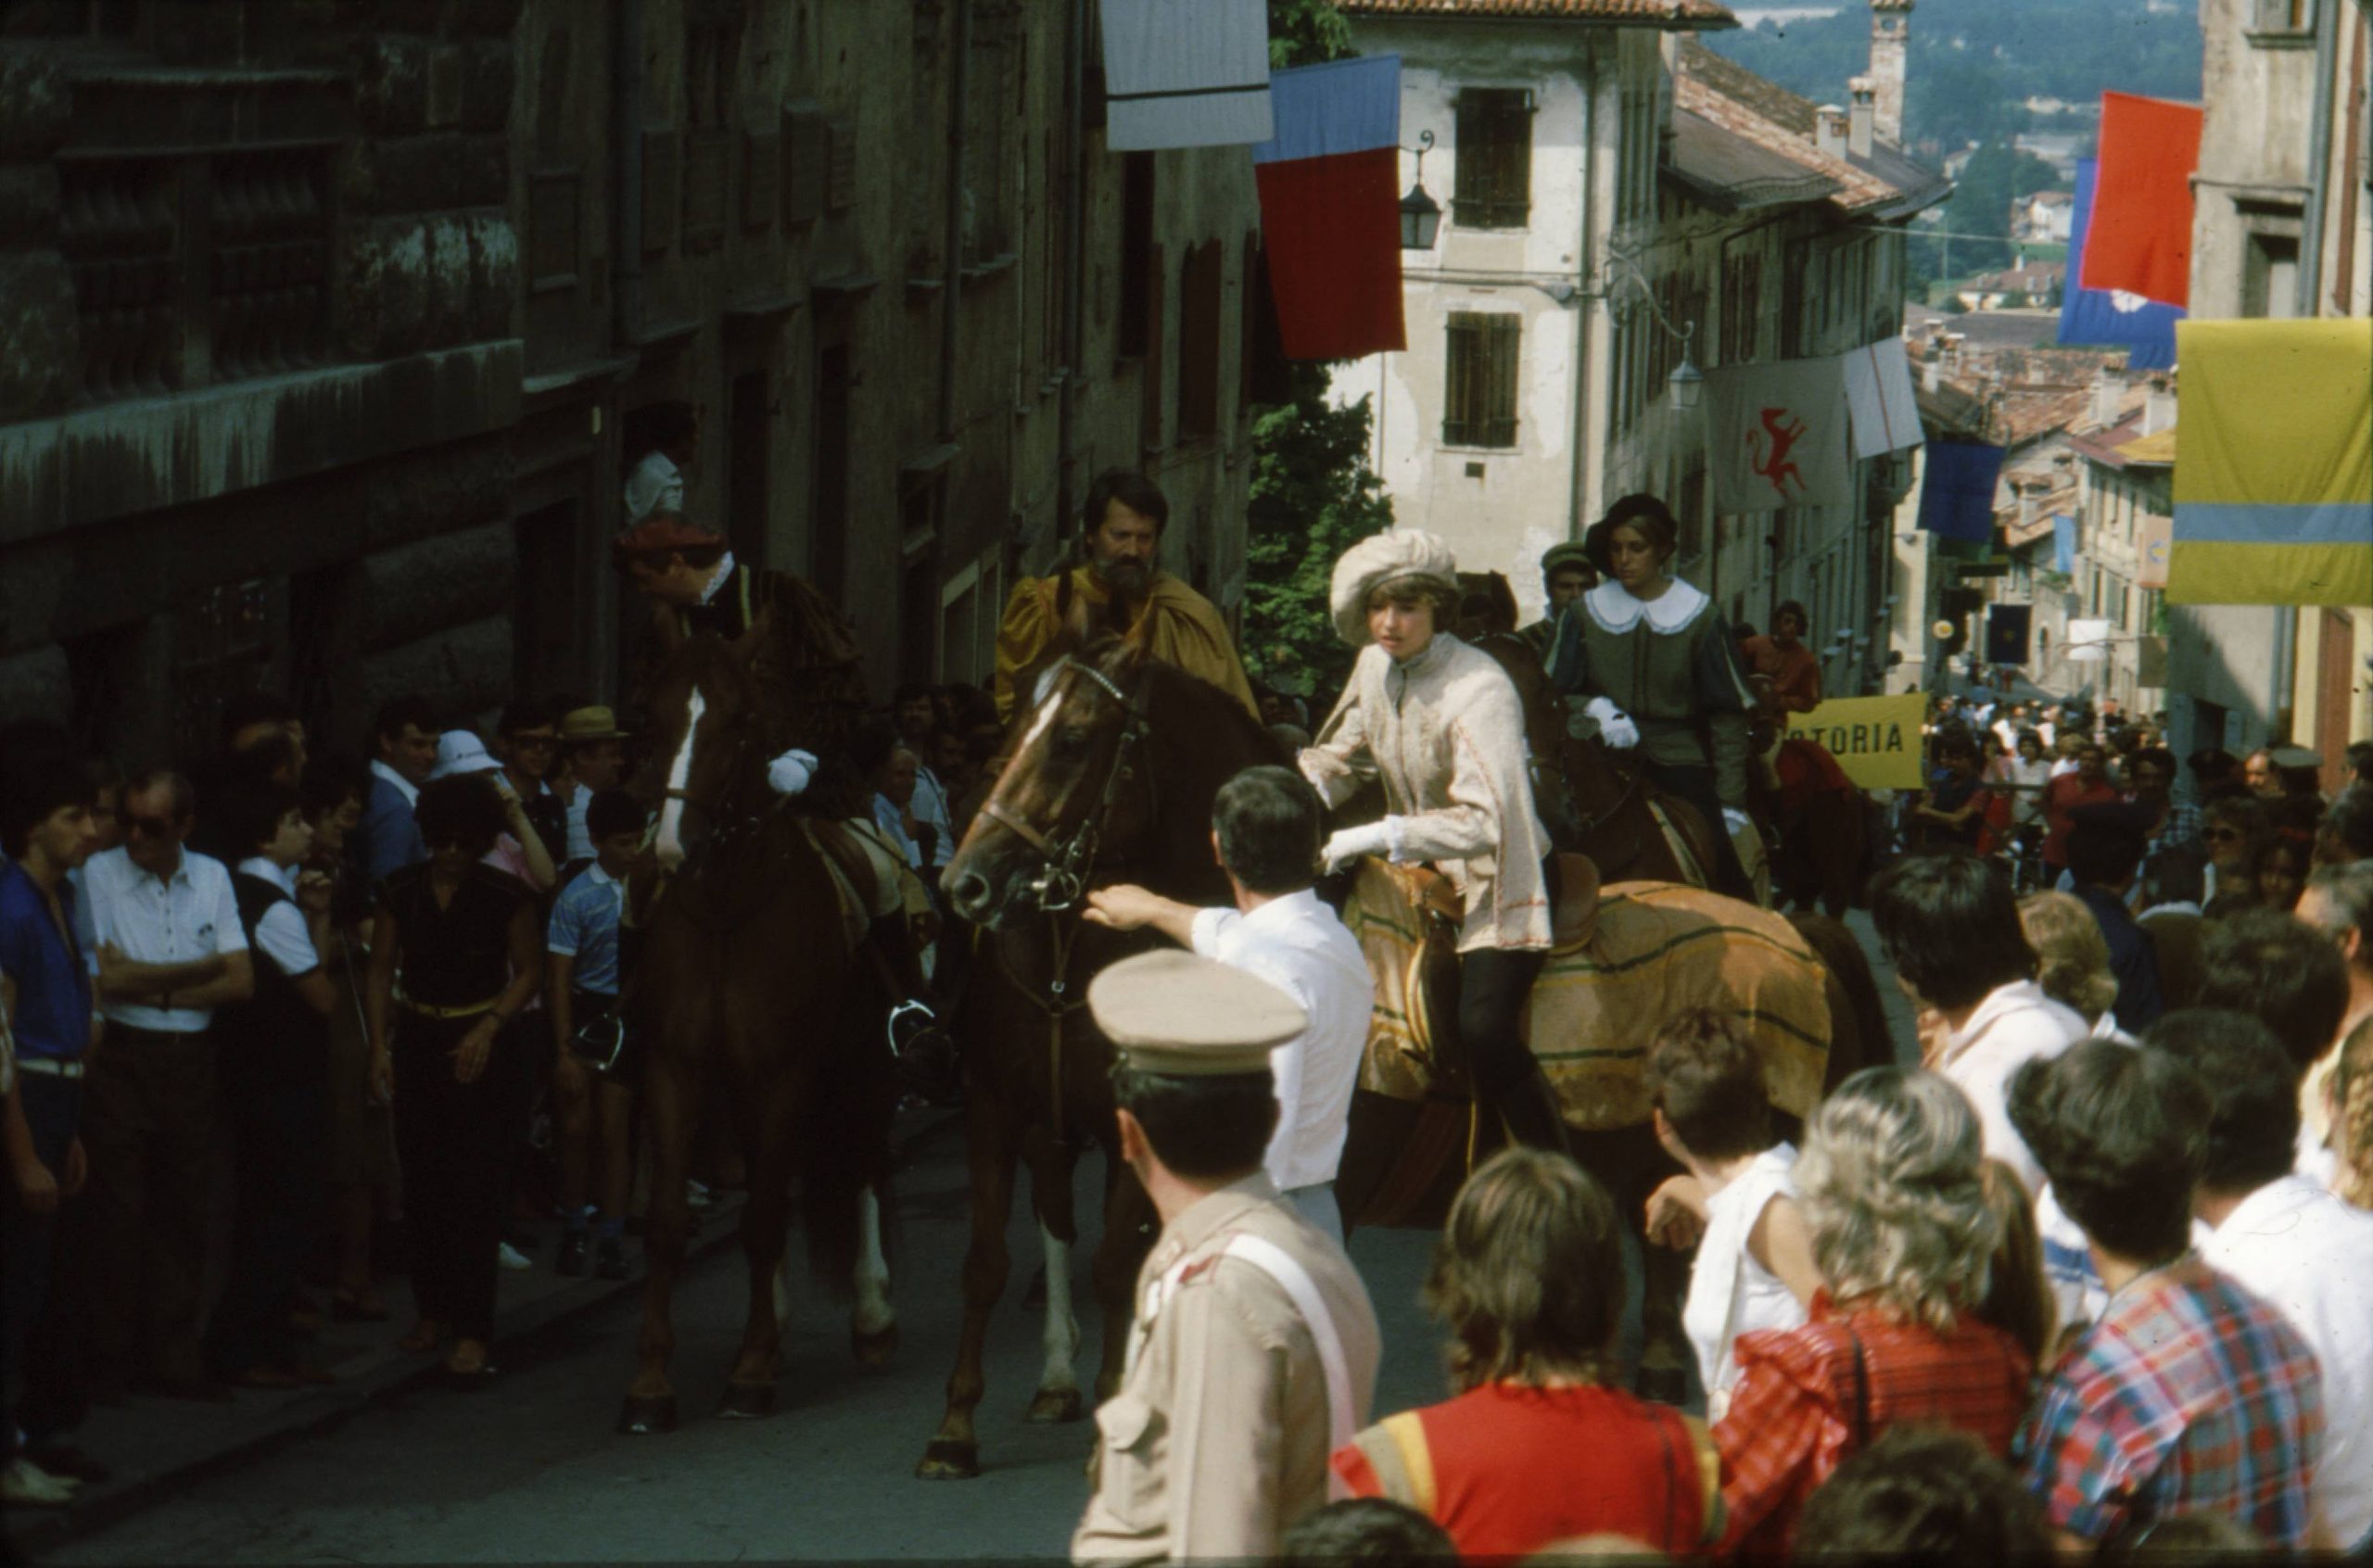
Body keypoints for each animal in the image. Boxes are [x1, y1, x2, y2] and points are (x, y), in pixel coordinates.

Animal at [616, 612, 901, 1433]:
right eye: (653, 716)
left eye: (740, 721)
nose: (671, 848)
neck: (725, 913)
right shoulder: (677, 1068)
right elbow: (670, 1222)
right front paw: (652, 1383)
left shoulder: (786, 1073)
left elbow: (769, 1216)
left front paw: (748, 1373)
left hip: (865, 1061)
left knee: (867, 1160)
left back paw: (872, 1316)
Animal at [925, 640, 1290, 1480]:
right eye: (1012, 731)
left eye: (1073, 739)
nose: (966, 883)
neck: (1075, 954)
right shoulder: (996, 1104)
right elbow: (986, 1262)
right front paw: (956, 1427)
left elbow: (1119, 1266)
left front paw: (1113, 1421)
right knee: (1057, 1215)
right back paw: (1058, 1378)